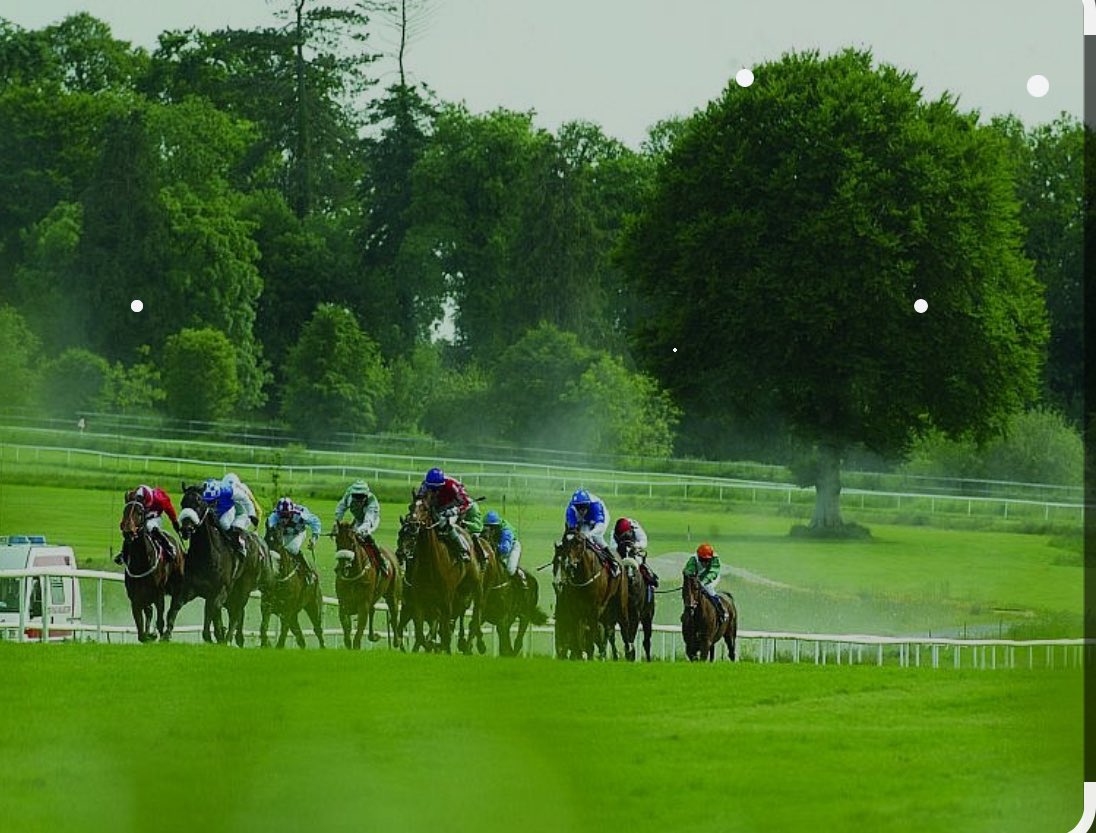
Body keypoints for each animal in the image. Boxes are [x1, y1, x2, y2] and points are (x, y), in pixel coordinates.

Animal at [118, 495, 183, 644]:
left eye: (139, 512)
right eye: (125, 511)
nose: (128, 531)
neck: (141, 562)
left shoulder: (159, 594)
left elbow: (160, 621)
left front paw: (159, 635)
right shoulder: (135, 597)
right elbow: (140, 629)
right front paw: (148, 635)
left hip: (177, 585)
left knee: (174, 607)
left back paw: (167, 633)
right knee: (149, 611)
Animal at [394, 497, 480, 653]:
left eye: (425, 508)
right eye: (400, 534)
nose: (400, 553)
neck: (430, 565)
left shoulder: (445, 599)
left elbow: (444, 630)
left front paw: (440, 645)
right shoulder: (417, 601)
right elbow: (419, 634)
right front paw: (431, 644)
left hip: (468, 589)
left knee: (465, 614)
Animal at [552, 530, 631, 662]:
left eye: (578, 542)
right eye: (564, 541)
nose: (569, 564)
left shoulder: (594, 609)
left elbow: (588, 634)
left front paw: (588, 655)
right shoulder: (572, 611)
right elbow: (573, 635)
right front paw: (577, 656)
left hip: (620, 603)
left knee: (622, 625)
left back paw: (629, 653)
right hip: (606, 610)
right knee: (608, 631)